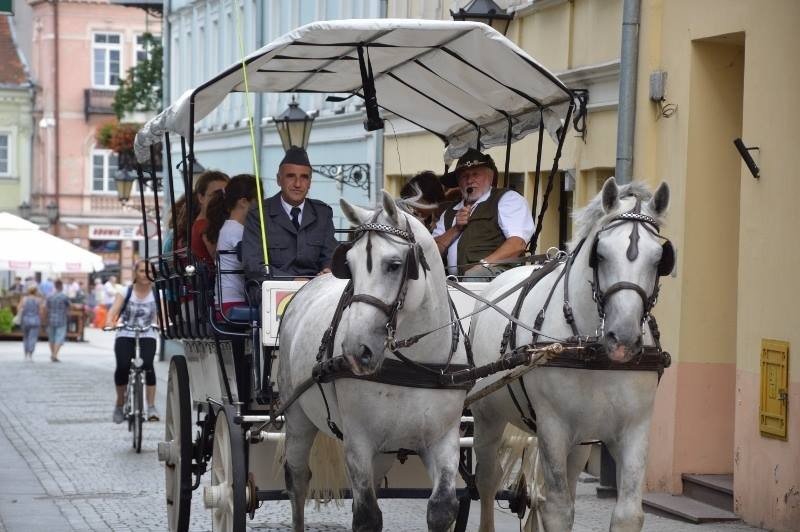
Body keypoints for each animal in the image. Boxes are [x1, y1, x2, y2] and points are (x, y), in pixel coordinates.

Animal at [280, 192, 468, 532]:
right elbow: (367, 515)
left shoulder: (443, 438)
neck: (413, 365)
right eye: (350, 267)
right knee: (298, 480)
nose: (357, 350)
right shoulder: (359, 442)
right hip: (297, 415)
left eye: (394, 265)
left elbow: (441, 508)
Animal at [472, 180, 672, 532]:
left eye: (659, 258)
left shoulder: (634, 428)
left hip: (579, 443)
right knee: (488, 481)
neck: (591, 350)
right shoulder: (553, 427)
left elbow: (628, 513)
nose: (623, 339)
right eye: (600, 254)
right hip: (487, 416)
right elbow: (557, 509)